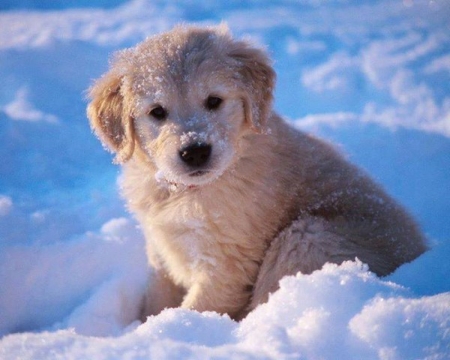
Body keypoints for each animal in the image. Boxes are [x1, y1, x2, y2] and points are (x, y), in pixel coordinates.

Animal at [86, 23, 428, 320]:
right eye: (157, 112)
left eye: (214, 101)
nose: (195, 151)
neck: (184, 192)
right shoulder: (160, 250)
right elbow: (156, 297)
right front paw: (144, 325)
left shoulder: (227, 265)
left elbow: (197, 307)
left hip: (307, 236)